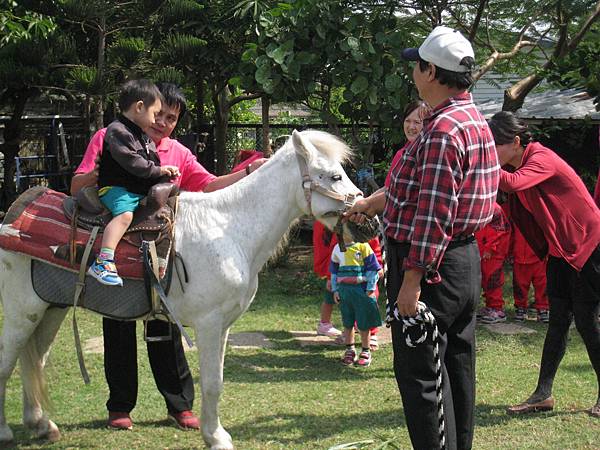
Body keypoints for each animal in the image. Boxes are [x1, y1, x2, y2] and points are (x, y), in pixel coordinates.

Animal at [0, 130, 360, 450]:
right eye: (333, 176)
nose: (362, 217)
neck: (230, 230)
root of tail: (14, 214)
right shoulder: (209, 324)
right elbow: (212, 384)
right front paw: (215, 438)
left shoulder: (223, 326)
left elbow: (217, 381)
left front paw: (213, 432)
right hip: (21, 313)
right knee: (8, 362)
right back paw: (7, 432)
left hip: (50, 310)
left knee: (34, 360)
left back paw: (41, 424)